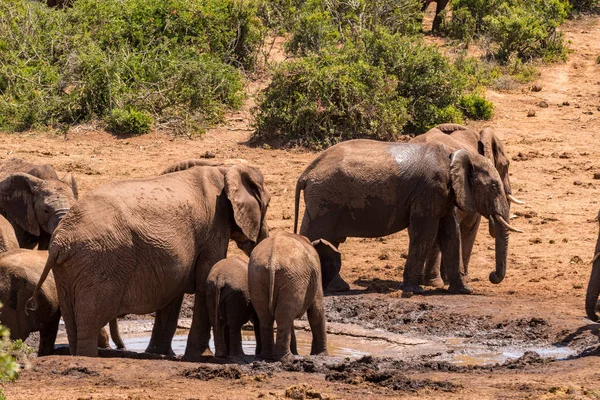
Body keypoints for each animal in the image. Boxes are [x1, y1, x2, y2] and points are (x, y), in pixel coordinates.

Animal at [28, 162, 270, 360]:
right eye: (267, 205)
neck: (223, 169)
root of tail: (60, 240)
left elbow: (174, 292)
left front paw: (161, 354)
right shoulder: (214, 227)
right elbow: (203, 281)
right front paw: (200, 356)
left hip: (68, 270)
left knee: (72, 320)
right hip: (97, 262)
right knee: (90, 320)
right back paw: (87, 357)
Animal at [250, 231, 342, 362]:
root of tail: (272, 260)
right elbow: (316, 311)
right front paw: (322, 356)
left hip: (259, 276)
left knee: (266, 315)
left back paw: (268, 356)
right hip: (291, 278)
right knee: (283, 315)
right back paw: (288, 359)